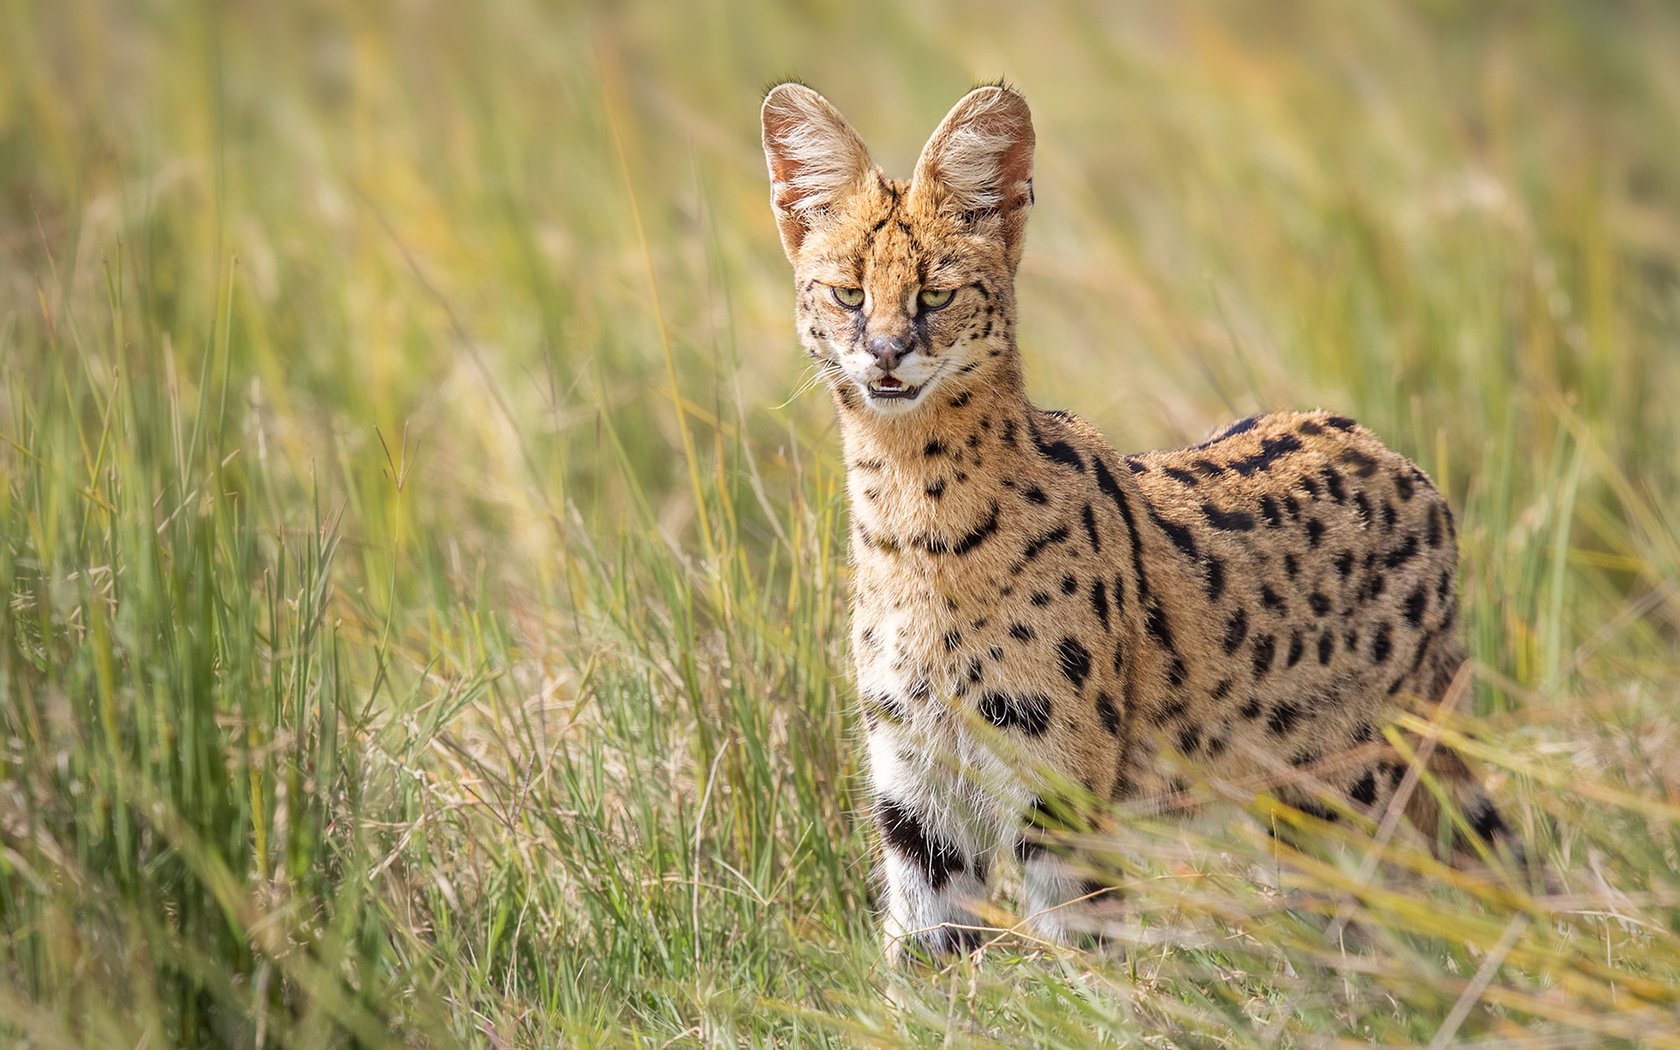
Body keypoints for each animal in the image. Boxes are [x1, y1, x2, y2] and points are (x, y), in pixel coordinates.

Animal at [756, 81, 1518, 960]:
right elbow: (920, 959)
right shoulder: (917, 792)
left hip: (1354, 789)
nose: (884, 353)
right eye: (847, 292)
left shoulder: (1059, 793)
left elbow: (1080, 962)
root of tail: (1404, 465)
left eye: (936, 294)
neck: (914, 523)